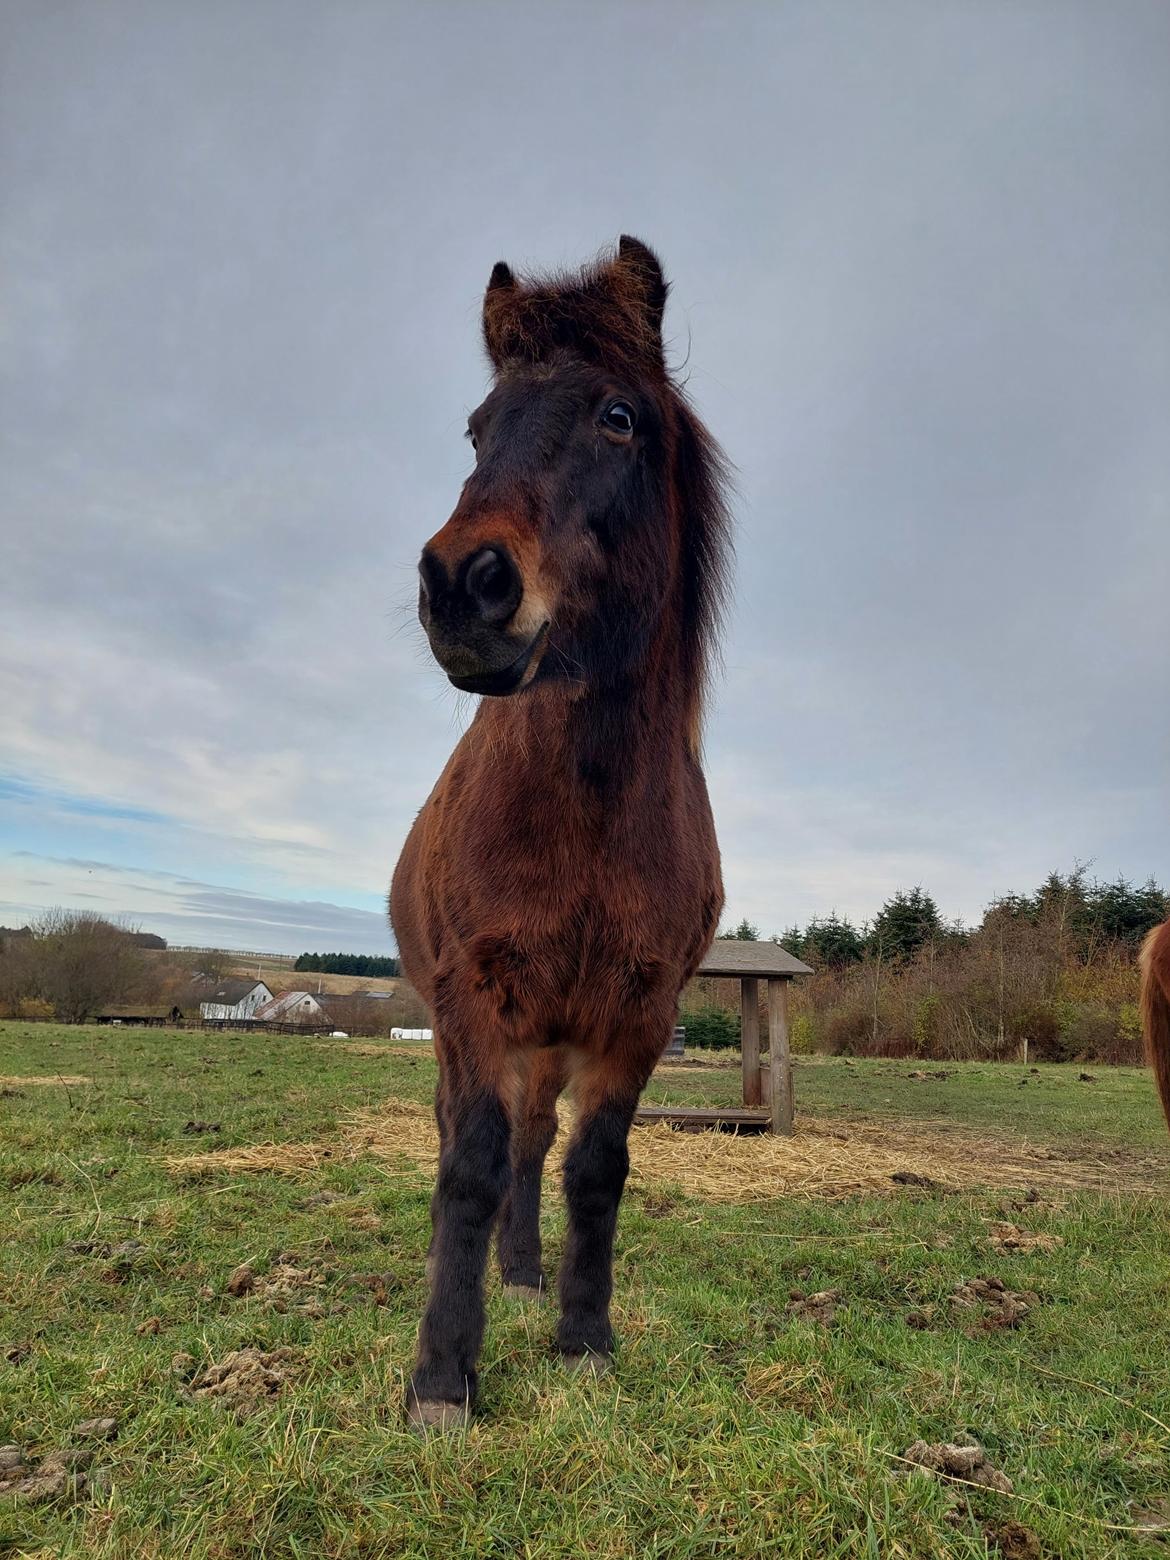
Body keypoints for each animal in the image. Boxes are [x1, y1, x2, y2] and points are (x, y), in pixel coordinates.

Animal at [390, 233, 730, 1428]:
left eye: (617, 417)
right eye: (477, 431)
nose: (461, 582)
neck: (589, 811)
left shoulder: (636, 1015)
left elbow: (594, 1170)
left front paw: (583, 1337)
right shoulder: (476, 1003)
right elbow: (468, 1169)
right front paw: (443, 1377)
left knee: (539, 1142)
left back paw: (527, 1272)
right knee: (479, 1140)